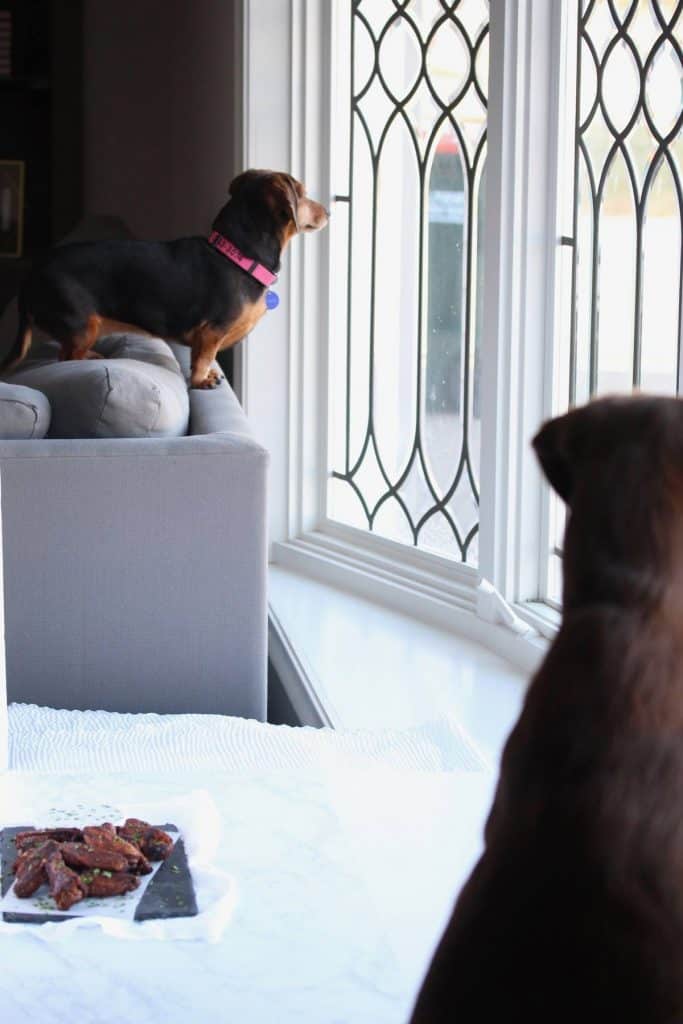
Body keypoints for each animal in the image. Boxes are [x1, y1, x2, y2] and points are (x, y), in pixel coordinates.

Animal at [2, 172, 327, 387]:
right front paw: (201, 380)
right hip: (82, 326)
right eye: (302, 193)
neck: (237, 255)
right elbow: (202, 358)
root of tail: (32, 274)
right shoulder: (210, 332)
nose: (328, 211)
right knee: (65, 358)